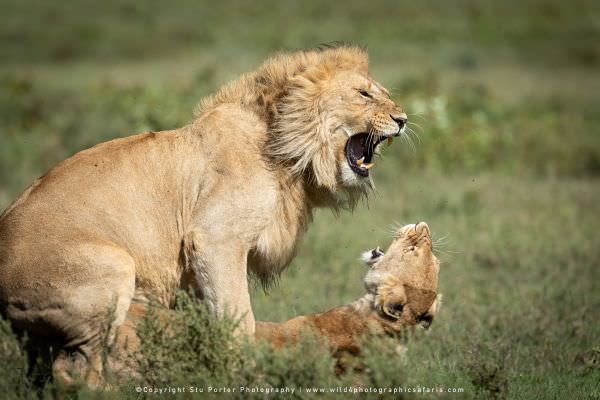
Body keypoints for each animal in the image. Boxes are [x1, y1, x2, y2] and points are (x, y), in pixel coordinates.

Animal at [0, 44, 408, 384]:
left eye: (384, 92)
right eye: (364, 94)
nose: (403, 119)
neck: (288, 153)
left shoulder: (196, 270)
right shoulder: (215, 239)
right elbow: (240, 317)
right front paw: (246, 375)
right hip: (114, 267)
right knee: (77, 369)